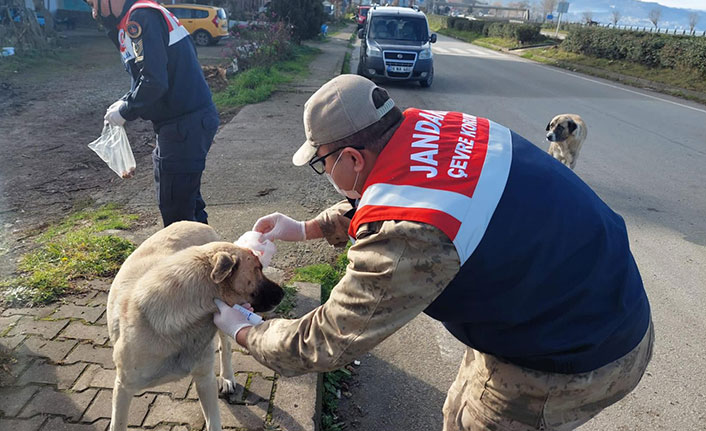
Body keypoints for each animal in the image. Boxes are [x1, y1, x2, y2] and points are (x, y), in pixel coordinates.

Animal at [106, 223, 282, 431]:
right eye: (257, 269)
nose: (282, 293)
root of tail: (196, 223)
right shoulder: (123, 389)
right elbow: (118, 423)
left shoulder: (205, 379)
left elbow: (214, 423)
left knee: (225, 346)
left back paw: (227, 377)